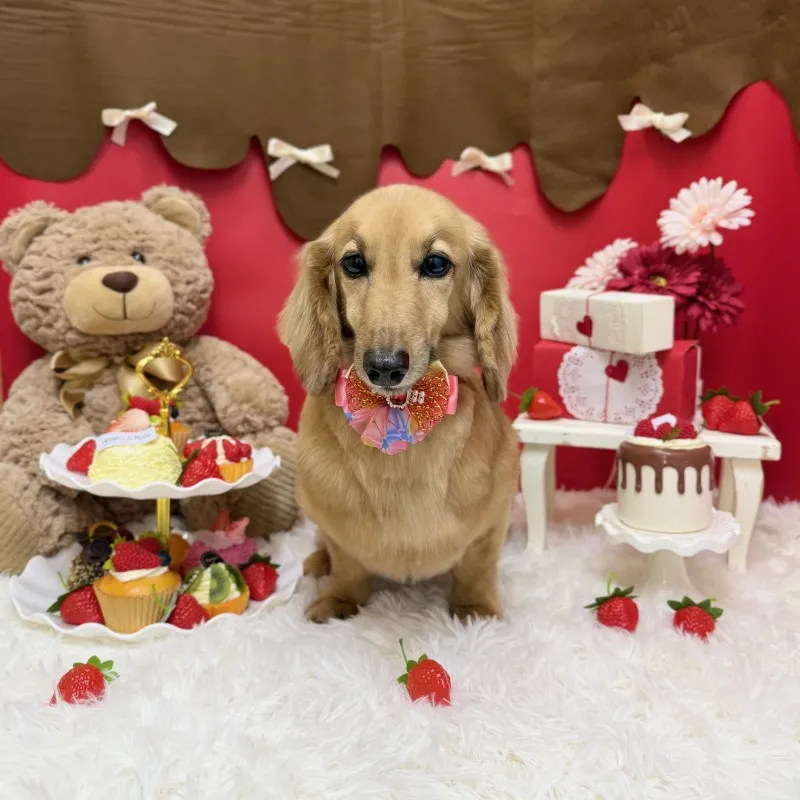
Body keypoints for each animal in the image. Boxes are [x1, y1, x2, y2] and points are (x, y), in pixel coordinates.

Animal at [278, 184, 520, 623]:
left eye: (436, 263)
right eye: (353, 263)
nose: (385, 367)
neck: (399, 414)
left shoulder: (493, 522)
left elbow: (477, 567)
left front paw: (475, 610)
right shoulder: (336, 525)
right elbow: (347, 563)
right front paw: (339, 601)